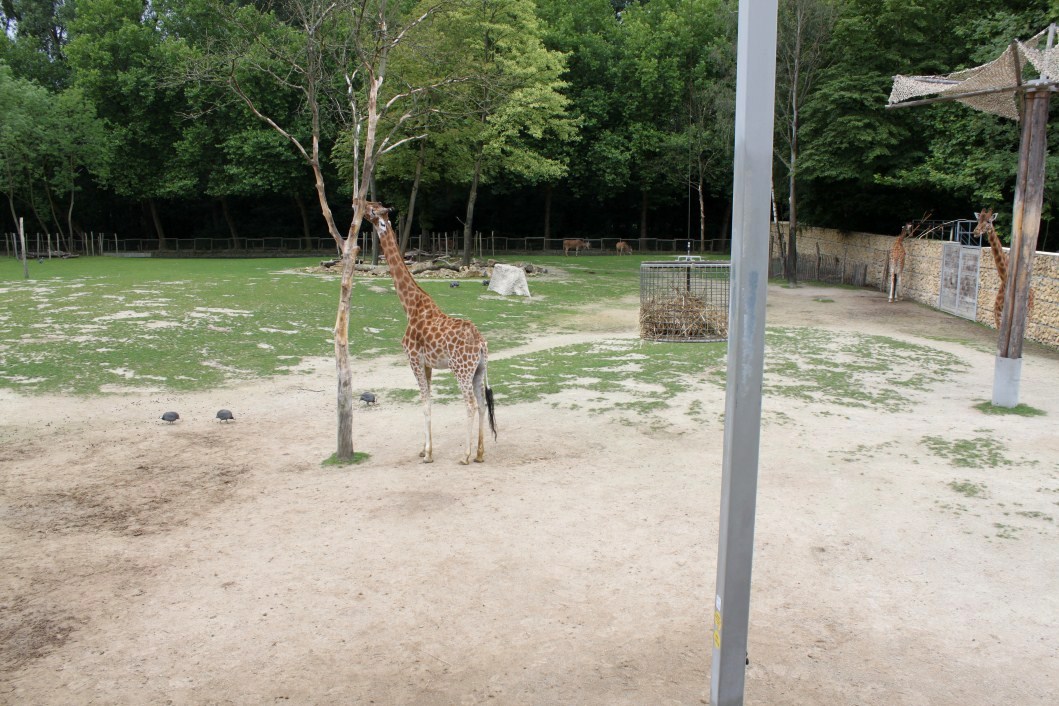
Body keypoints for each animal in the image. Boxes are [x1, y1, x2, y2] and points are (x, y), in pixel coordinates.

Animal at [362, 200, 496, 464]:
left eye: (373, 210)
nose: (359, 204)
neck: (410, 306)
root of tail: (481, 344)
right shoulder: (427, 364)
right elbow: (430, 400)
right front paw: (425, 449)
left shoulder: (413, 359)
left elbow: (424, 402)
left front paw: (427, 454)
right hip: (478, 370)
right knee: (482, 404)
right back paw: (479, 453)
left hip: (461, 370)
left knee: (470, 404)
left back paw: (465, 455)